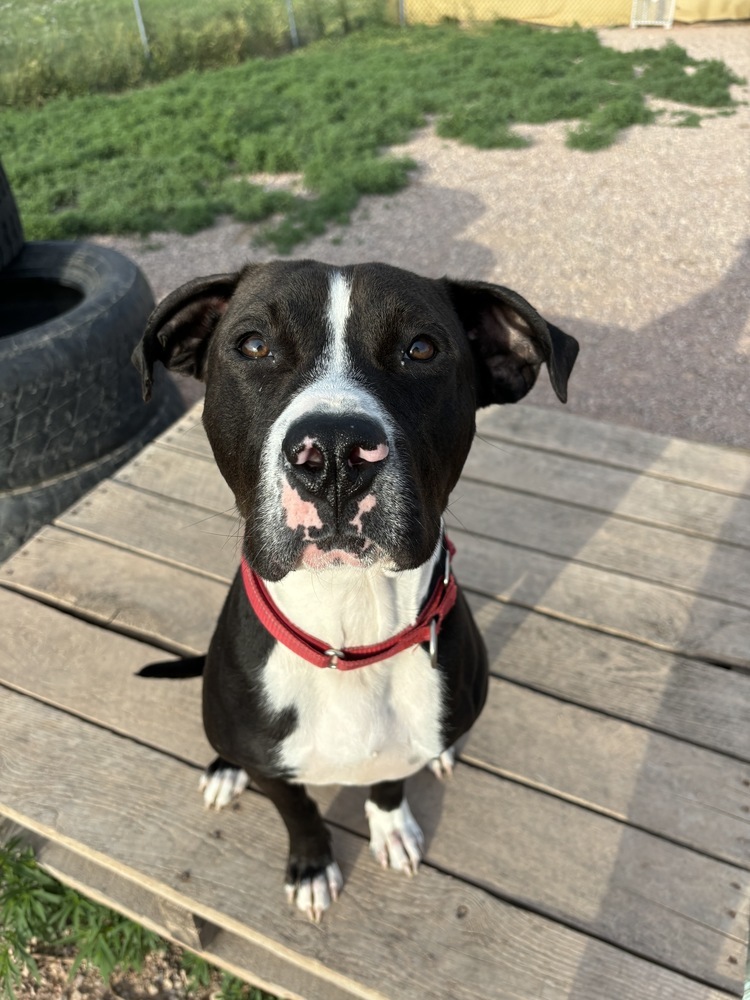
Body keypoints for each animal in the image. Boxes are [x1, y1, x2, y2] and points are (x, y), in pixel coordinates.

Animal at [134, 258, 580, 920]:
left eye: (421, 349)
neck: (349, 624)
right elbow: (296, 809)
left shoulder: (401, 743)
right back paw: (223, 770)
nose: (336, 449)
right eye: (254, 345)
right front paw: (312, 865)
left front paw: (391, 826)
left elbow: (389, 780)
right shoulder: (275, 768)